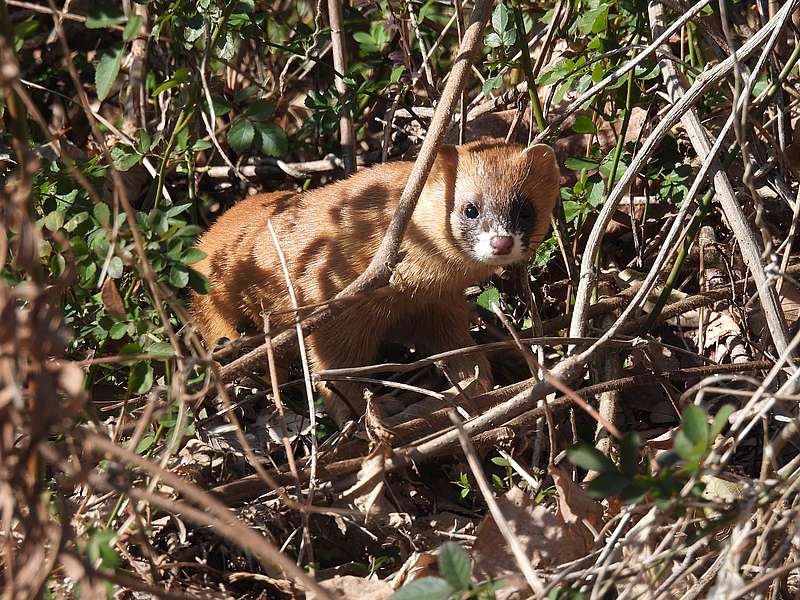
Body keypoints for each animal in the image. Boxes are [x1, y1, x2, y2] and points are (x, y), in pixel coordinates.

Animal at [191, 139, 560, 422]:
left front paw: (474, 378)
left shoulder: (439, 304)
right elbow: (332, 373)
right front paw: (374, 407)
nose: (501, 242)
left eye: (525, 209)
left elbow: (455, 345)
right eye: (470, 208)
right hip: (218, 311)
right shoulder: (330, 307)